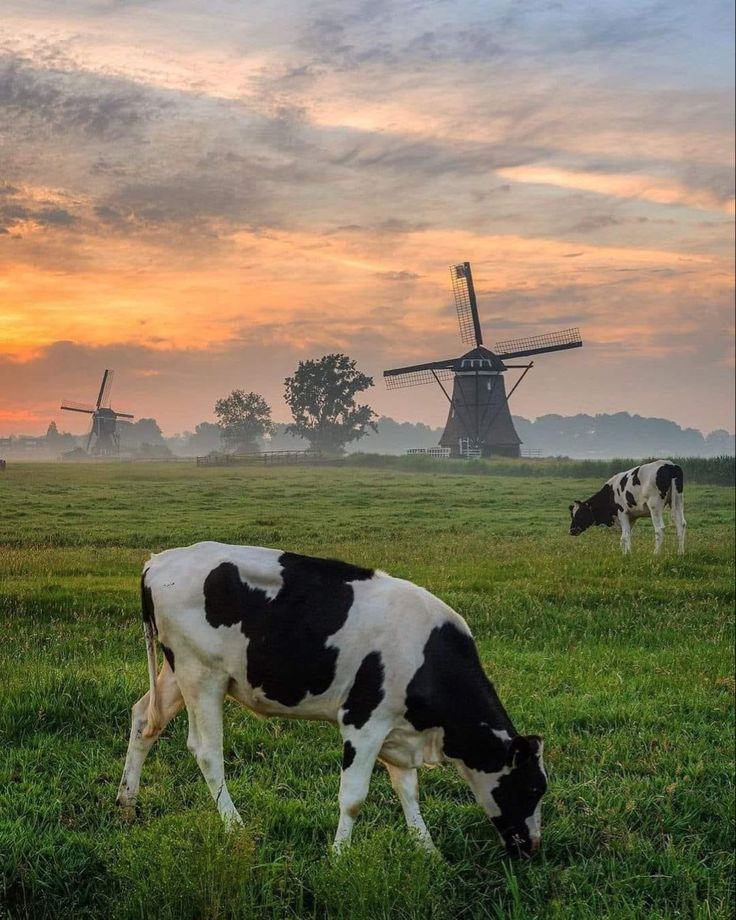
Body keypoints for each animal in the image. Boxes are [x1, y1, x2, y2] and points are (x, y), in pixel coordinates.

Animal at [116, 544, 548, 860]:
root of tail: (157, 561)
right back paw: (235, 828)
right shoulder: (363, 721)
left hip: (177, 672)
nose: (531, 848)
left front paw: (428, 852)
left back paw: (126, 803)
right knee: (206, 751)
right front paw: (339, 857)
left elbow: (408, 790)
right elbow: (354, 798)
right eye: (533, 789)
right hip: (200, 672)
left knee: (143, 720)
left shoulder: (397, 729)